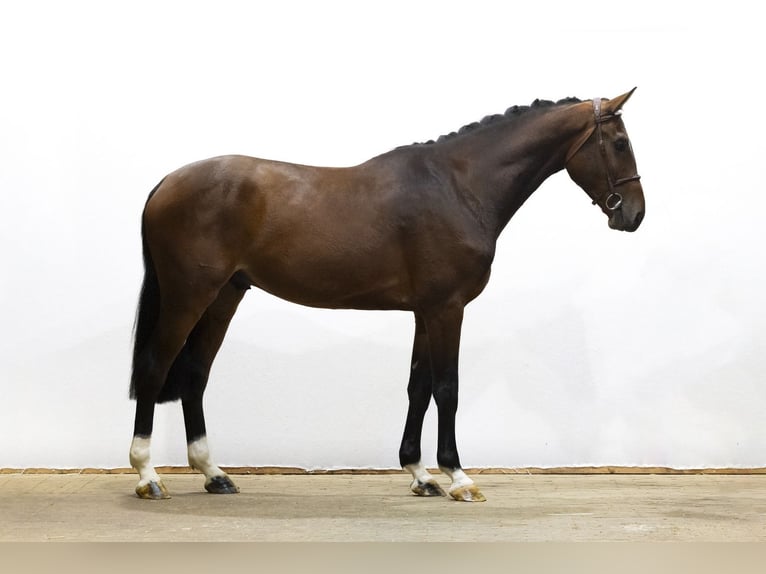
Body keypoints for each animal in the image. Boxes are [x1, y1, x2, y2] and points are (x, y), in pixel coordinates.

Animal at [129, 89, 644, 501]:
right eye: (620, 144)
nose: (635, 215)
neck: (458, 187)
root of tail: (167, 183)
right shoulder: (447, 309)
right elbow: (447, 388)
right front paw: (458, 477)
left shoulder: (424, 311)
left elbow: (418, 387)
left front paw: (421, 475)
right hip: (188, 295)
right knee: (156, 367)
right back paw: (148, 477)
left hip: (224, 297)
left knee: (195, 374)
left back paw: (214, 474)